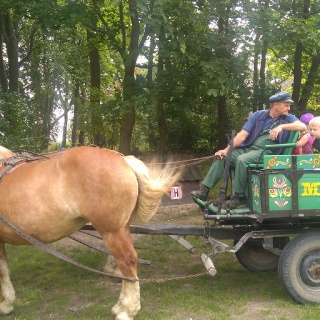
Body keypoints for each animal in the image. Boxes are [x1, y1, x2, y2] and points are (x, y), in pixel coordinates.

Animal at [0, 146, 181, 318]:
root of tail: (122, 159)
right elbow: (4, 267)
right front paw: (7, 302)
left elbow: (2, 270)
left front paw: (5, 304)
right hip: (122, 228)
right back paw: (120, 305)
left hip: (111, 231)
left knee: (127, 260)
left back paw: (127, 311)